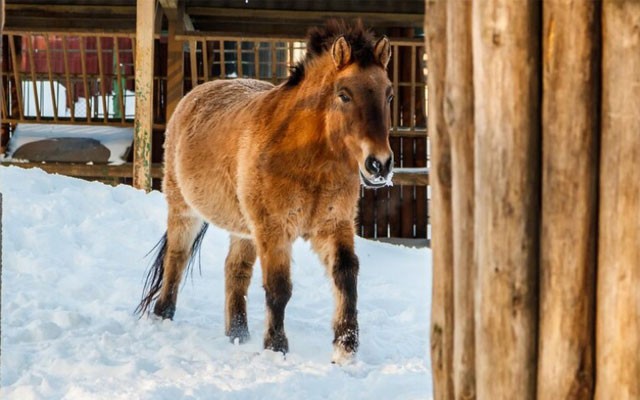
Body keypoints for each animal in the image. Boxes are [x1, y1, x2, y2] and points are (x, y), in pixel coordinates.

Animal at [138, 21, 392, 366]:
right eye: (344, 94)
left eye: (388, 93)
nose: (379, 164)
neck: (307, 157)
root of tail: (195, 95)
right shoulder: (274, 229)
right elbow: (279, 287)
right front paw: (276, 346)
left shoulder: (333, 225)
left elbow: (346, 275)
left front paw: (346, 348)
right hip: (183, 209)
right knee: (176, 259)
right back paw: (164, 315)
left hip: (244, 229)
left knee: (235, 271)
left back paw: (238, 334)